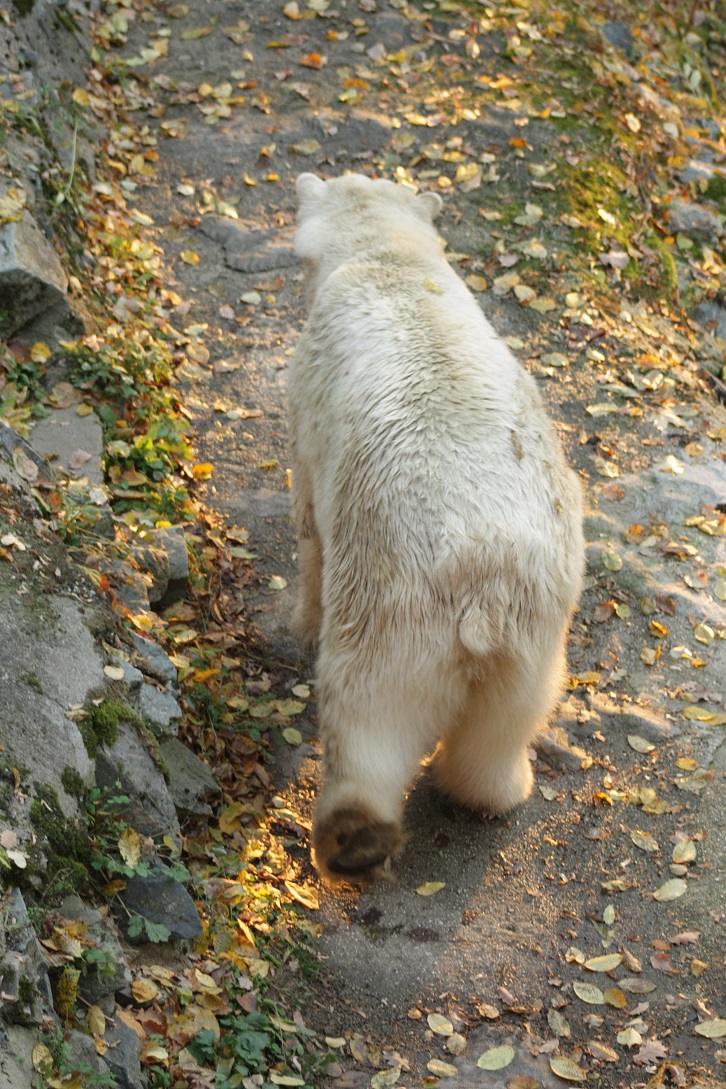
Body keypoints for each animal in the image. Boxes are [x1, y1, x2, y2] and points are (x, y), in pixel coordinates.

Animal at [289, 172, 583, 884]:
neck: (385, 259)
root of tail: (484, 589)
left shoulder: (309, 402)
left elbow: (308, 521)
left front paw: (298, 620)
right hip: (536, 633)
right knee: (505, 723)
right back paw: (500, 790)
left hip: (391, 603)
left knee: (367, 712)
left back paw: (353, 837)